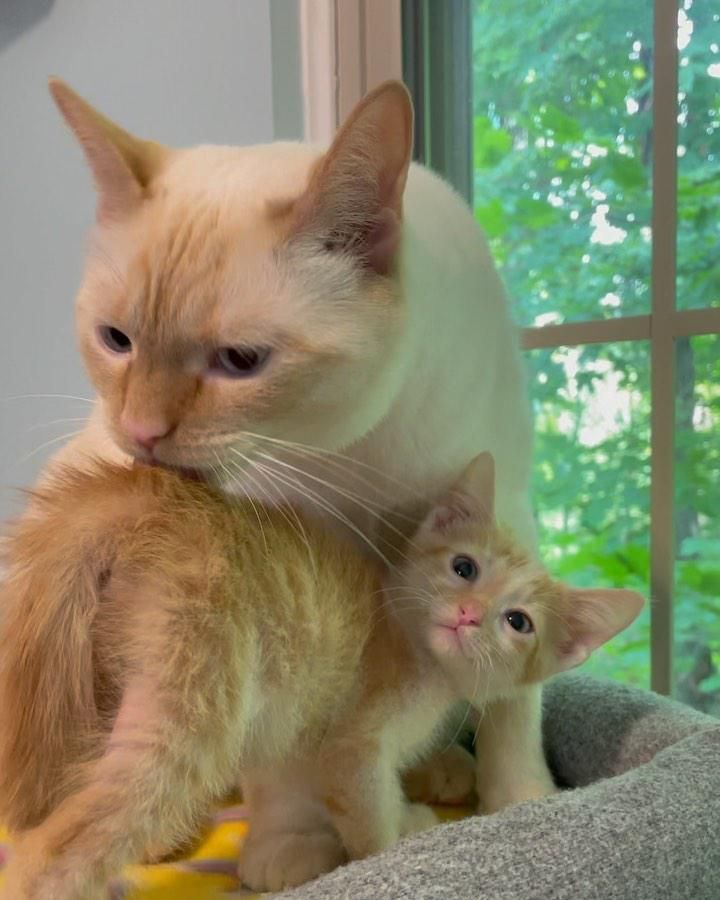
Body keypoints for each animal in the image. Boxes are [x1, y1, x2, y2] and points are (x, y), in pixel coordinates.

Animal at [0, 458, 640, 900]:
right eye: (464, 567)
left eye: (519, 622)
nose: (468, 614)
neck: (416, 655)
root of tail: (161, 503)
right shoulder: (353, 746)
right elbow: (371, 820)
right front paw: (400, 839)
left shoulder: (297, 740)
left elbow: (289, 786)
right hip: (196, 696)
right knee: (59, 842)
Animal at [43, 74, 552, 832]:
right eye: (117, 341)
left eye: (241, 361)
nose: (140, 434)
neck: (350, 456)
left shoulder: (505, 512)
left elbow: (514, 705)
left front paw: (522, 803)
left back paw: (444, 770)